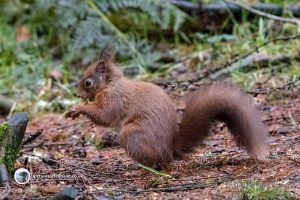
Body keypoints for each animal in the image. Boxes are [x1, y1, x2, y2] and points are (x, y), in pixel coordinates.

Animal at [65, 46, 268, 166]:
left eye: (88, 83)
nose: (77, 94)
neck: (111, 84)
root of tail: (169, 151)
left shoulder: (114, 98)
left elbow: (105, 116)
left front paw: (78, 108)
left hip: (131, 134)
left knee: (157, 163)